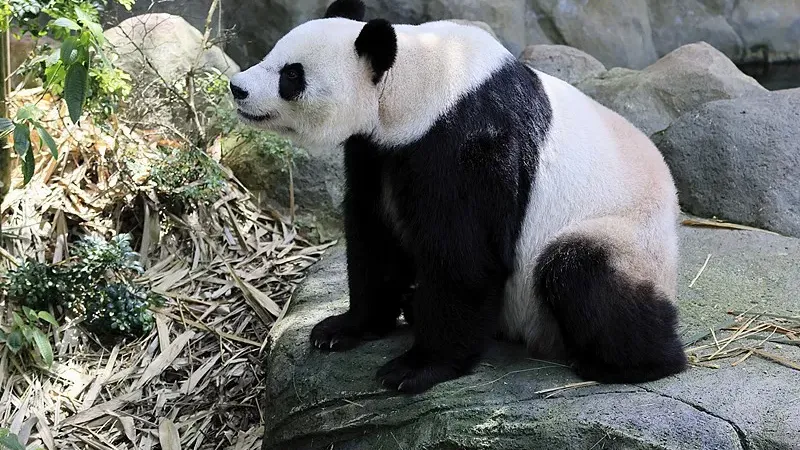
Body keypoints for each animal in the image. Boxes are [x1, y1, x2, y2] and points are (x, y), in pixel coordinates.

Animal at [230, 0, 688, 394]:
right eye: (271, 54)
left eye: (292, 75)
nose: (237, 88)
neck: (414, 81)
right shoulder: (377, 151)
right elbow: (374, 237)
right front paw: (341, 329)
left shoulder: (469, 143)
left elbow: (464, 256)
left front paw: (414, 369)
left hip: (627, 237)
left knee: (583, 272)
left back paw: (625, 363)